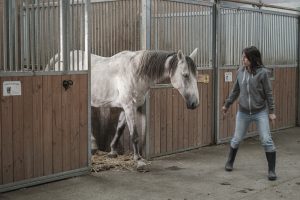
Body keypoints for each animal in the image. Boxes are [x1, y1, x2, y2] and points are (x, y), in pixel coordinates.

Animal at [48, 48, 200, 169]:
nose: (195, 103)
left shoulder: (126, 108)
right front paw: (138, 160)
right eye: (185, 75)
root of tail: (60, 55)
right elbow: (135, 135)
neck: (135, 73)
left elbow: (120, 129)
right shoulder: (128, 106)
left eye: (195, 75)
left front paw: (112, 152)